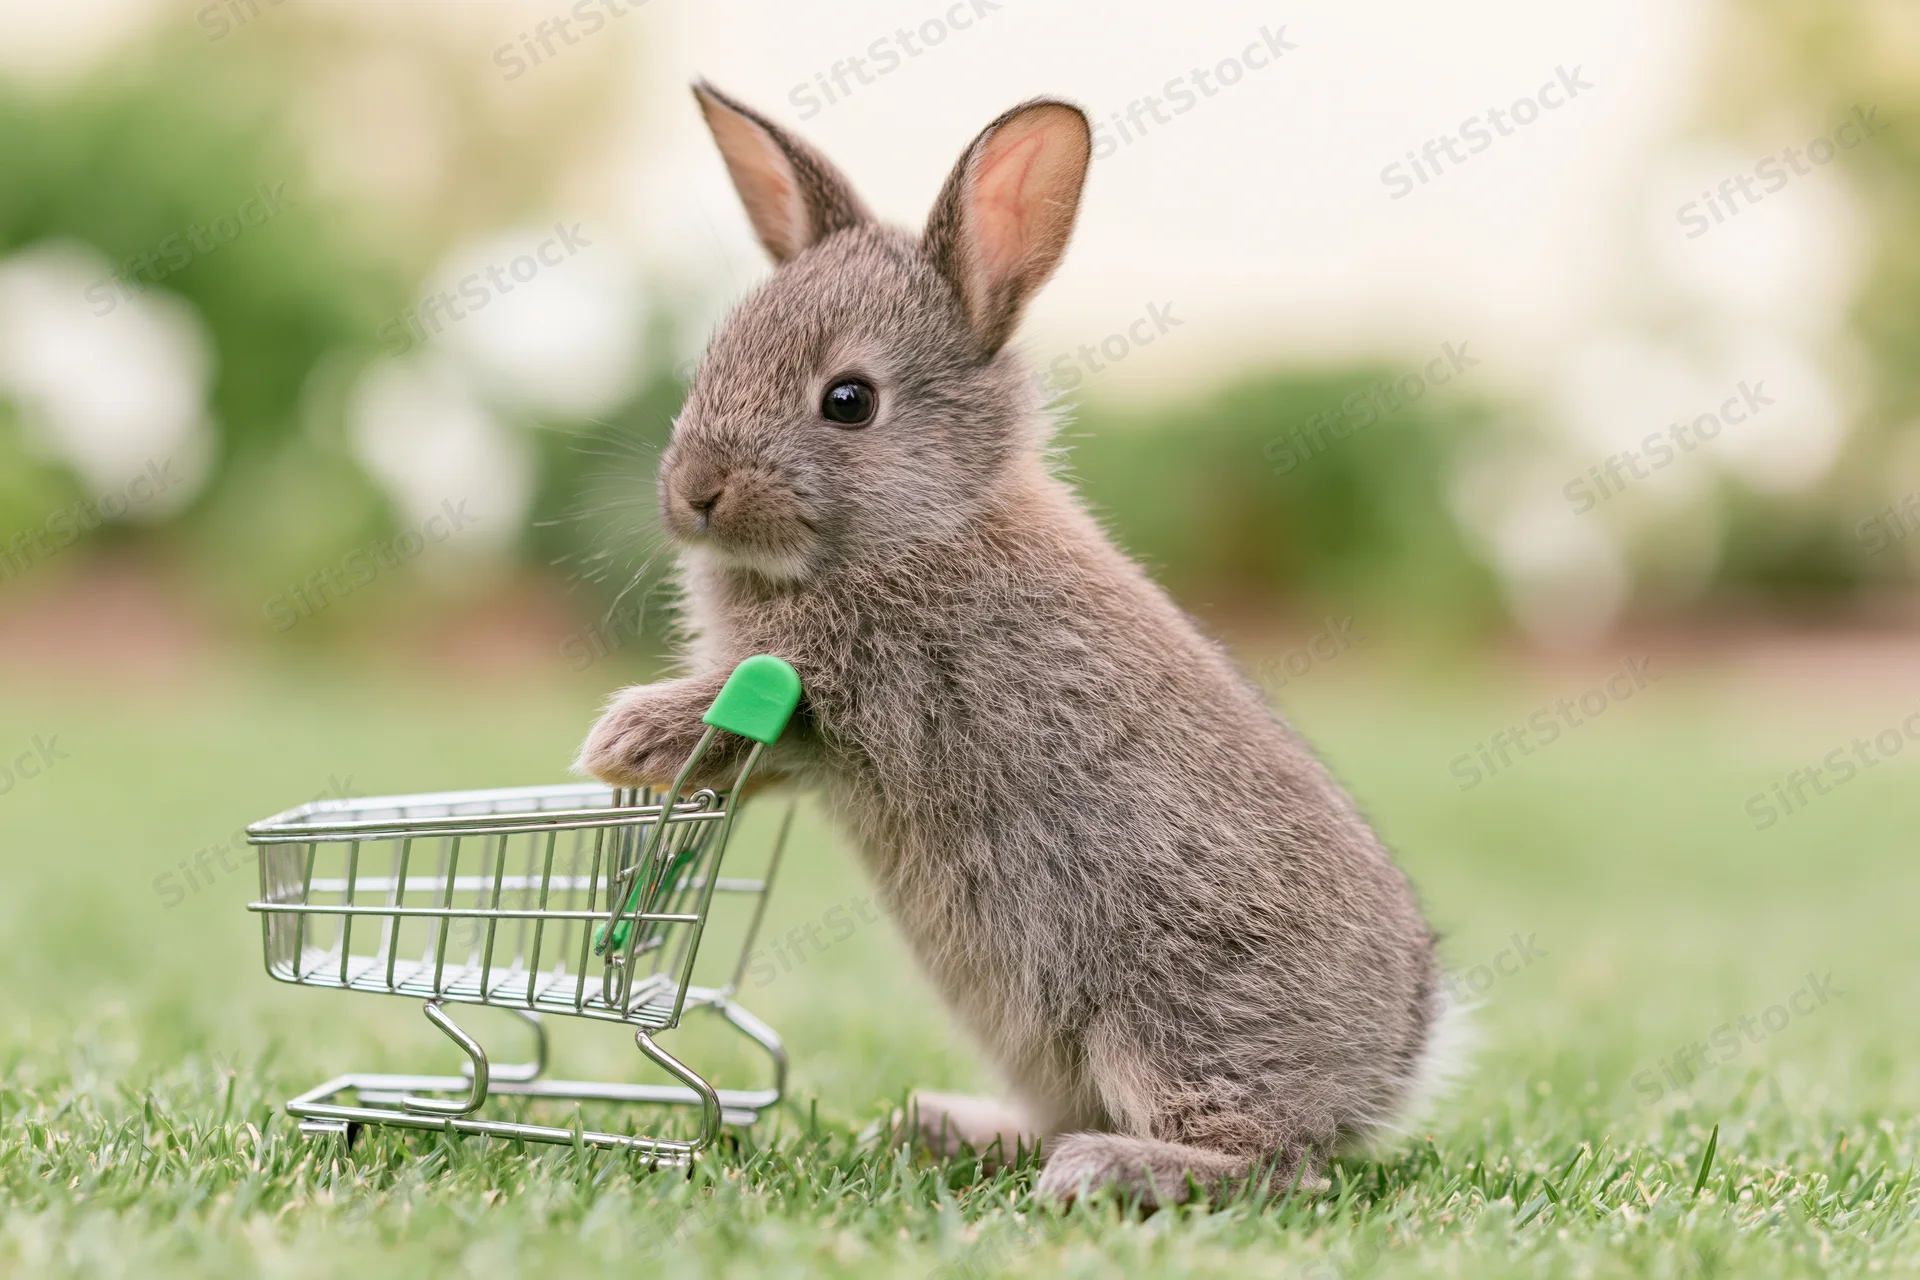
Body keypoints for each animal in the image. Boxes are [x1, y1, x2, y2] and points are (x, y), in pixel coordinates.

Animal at [577, 81, 1452, 1206]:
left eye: (848, 400)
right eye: (714, 359)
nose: (693, 494)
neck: (926, 524)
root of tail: (1400, 1057)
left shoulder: (871, 697)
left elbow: (759, 713)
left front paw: (623, 735)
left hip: (1164, 1019)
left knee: (1276, 1164)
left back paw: (1103, 1166)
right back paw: (948, 1127)